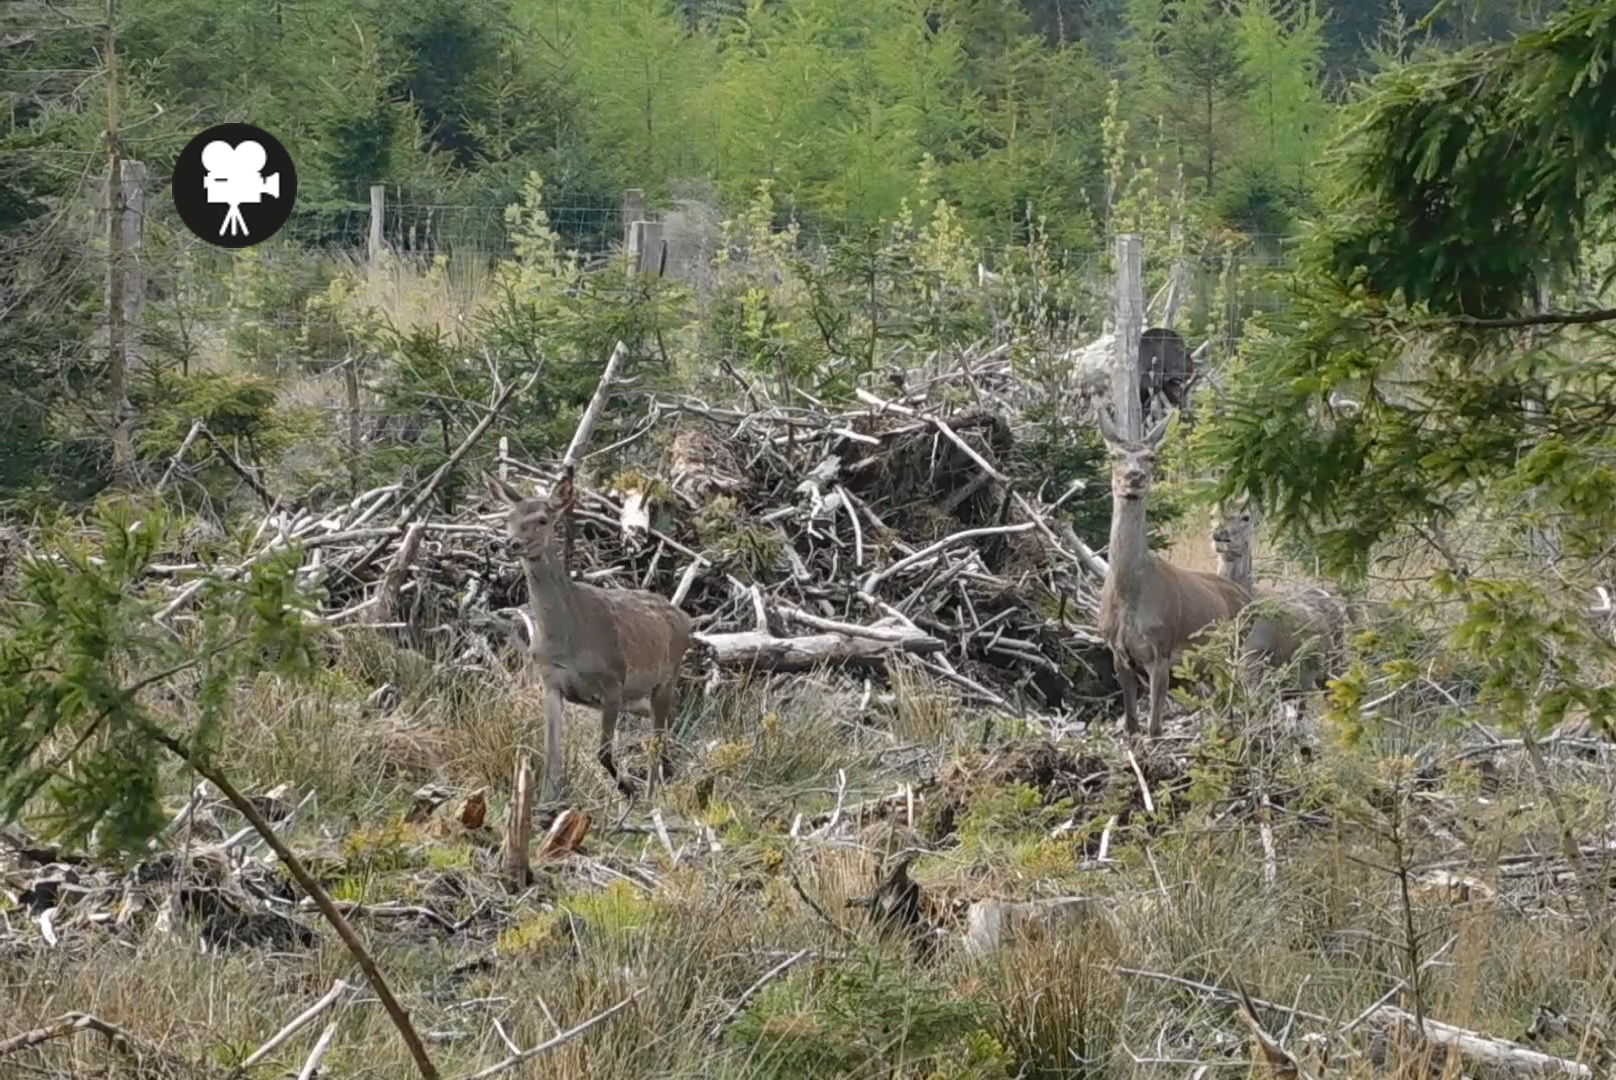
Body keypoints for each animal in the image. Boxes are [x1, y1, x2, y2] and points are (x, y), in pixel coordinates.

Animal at [488, 468, 698, 801]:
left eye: (543, 519)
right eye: (508, 517)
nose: (512, 543)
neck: (567, 641)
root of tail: (685, 618)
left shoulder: (613, 681)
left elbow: (602, 752)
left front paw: (627, 788)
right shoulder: (550, 682)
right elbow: (552, 757)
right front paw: (547, 799)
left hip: (667, 678)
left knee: (657, 736)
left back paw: (651, 793)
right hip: (636, 697)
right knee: (660, 729)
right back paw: (668, 772)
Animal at [1092, 410, 1254, 734]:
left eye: (1151, 457)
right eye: (1114, 455)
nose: (1134, 477)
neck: (1129, 597)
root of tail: (1245, 595)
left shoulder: (1162, 648)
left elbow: (1154, 728)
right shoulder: (1118, 653)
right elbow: (1131, 726)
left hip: (1234, 647)